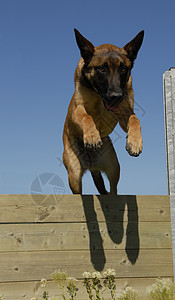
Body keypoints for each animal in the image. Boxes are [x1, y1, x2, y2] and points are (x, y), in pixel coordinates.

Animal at [62, 28, 144, 195]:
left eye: (123, 69)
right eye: (102, 69)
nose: (116, 96)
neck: (99, 96)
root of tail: (91, 164)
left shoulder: (125, 113)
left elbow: (135, 119)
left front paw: (135, 142)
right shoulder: (77, 109)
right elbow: (86, 116)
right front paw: (92, 136)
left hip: (113, 167)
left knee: (113, 190)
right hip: (74, 174)